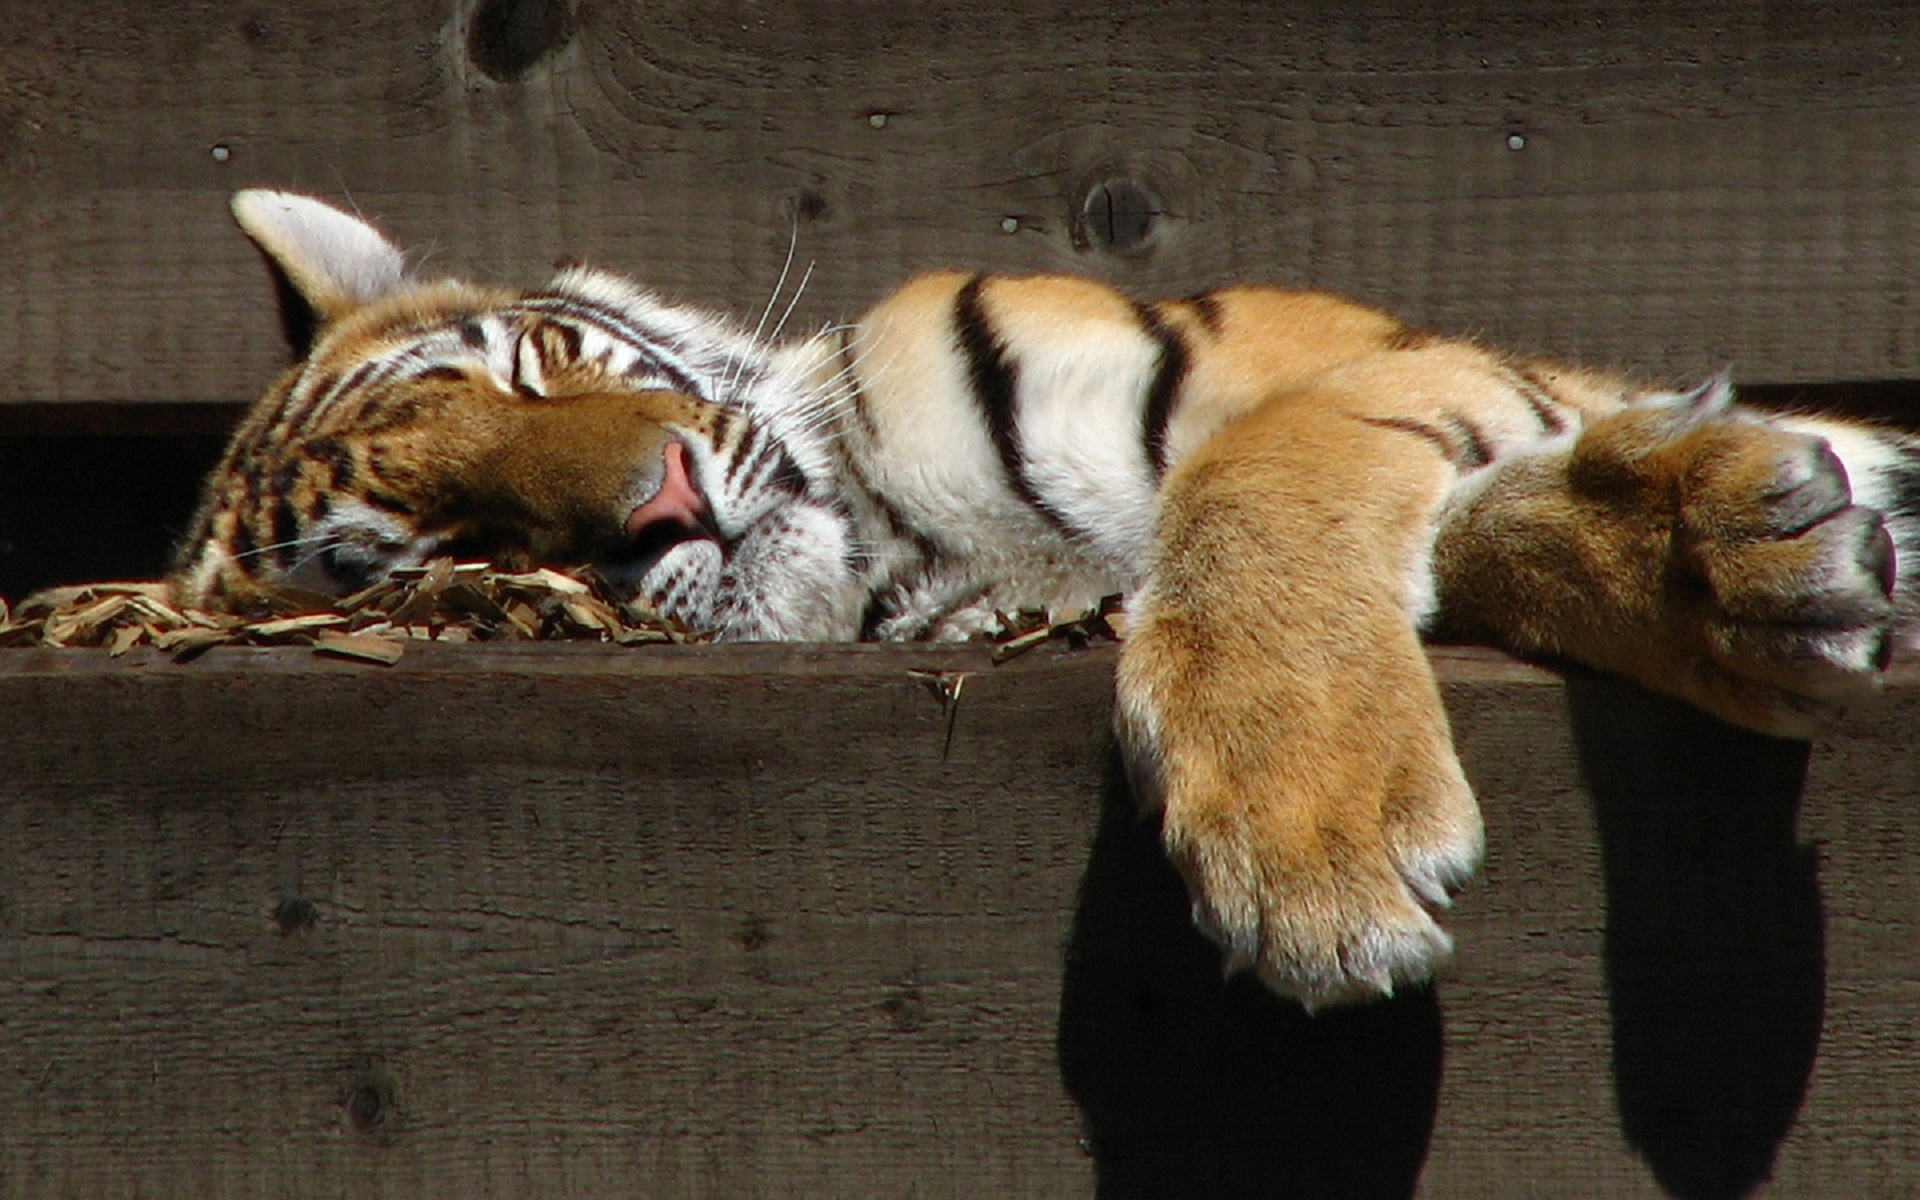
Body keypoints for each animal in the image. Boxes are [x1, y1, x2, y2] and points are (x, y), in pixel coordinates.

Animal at [172, 189, 1912, 1013]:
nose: (659, 500)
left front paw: (1312, 833)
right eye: (448, 541)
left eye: (540, 366)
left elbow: (1261, 476)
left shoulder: (1384, 367)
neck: (906, 540)